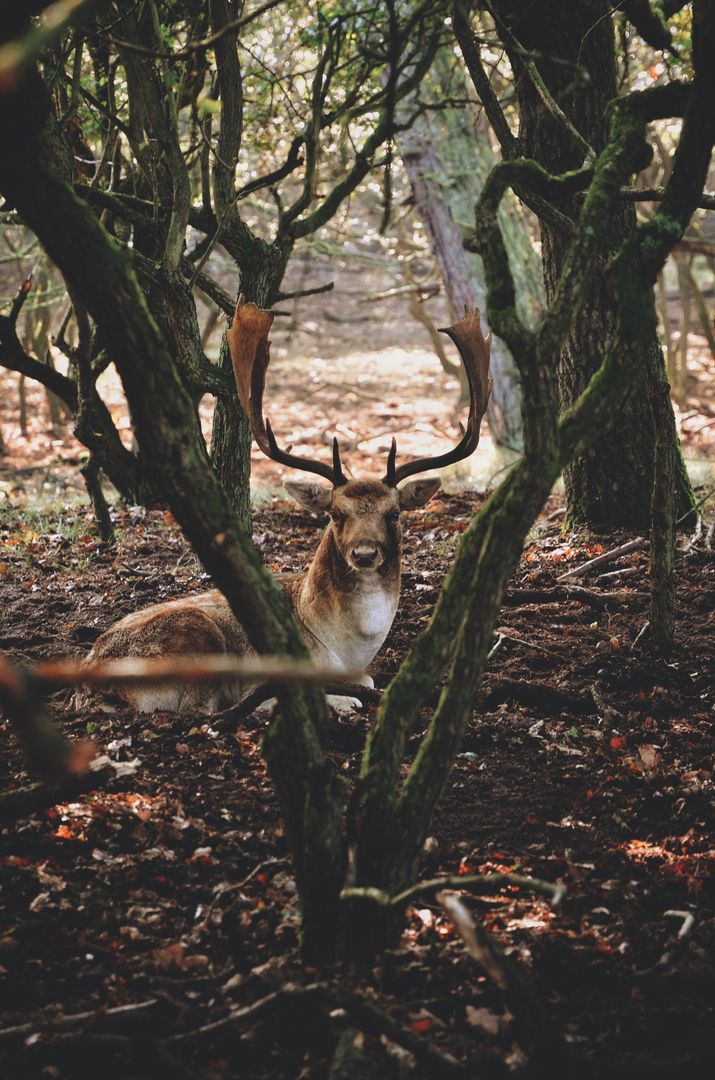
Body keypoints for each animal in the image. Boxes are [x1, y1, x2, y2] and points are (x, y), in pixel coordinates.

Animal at [82, 299, 492, 714]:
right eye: (335, 514)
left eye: (393, 514)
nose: (364, 553)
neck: (345, 651)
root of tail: (91, 680)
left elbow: (369, 679)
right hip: (194, 636)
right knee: (209, 707)